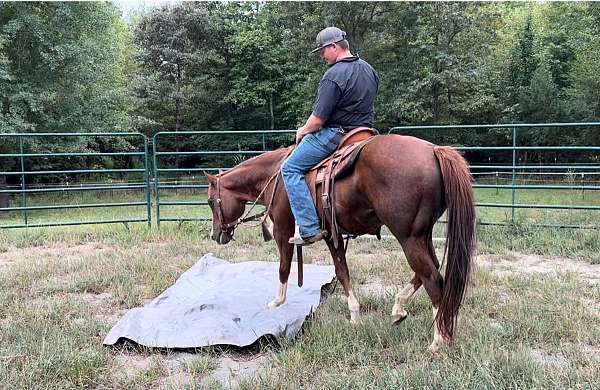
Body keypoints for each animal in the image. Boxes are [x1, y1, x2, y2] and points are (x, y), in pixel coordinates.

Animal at [204, 135, 476, 354]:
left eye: (209, 202)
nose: (216, 234)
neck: (275, 177)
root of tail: (434, 150)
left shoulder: (283, 230)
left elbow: (283, 267)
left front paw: (277, 302)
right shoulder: (331, 234)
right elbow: (342, 271)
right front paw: (355, 316)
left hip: (408, 237)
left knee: (432, 278)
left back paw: (438, 340)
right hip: (422, 234)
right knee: (430, 268)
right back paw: (399, 310)